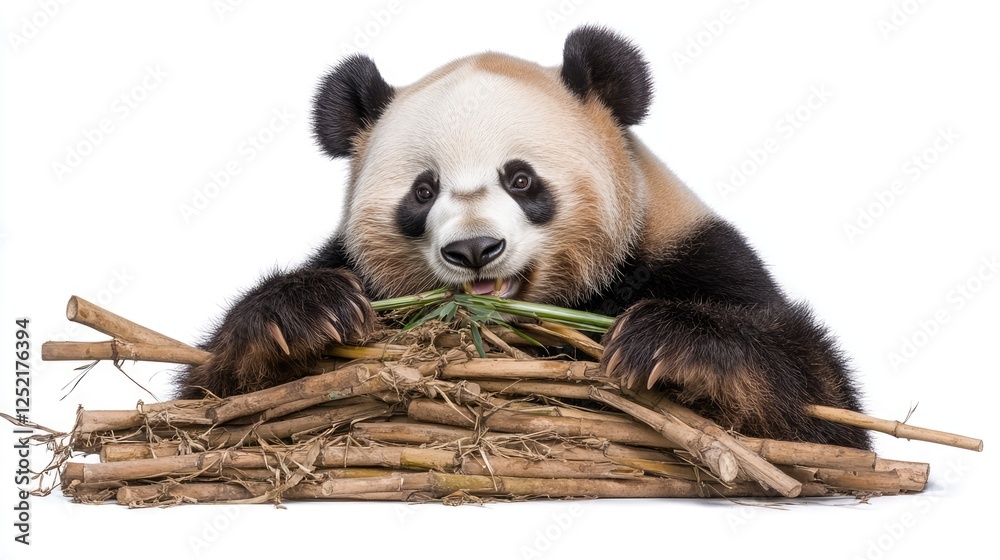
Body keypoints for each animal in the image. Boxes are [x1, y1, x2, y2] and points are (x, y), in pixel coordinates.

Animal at [178, 26, 871, 450]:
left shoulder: (687, 253)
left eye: (519, 178)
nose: (474, 250)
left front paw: (669, 345)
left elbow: (822, 408)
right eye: (423, 191)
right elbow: (209, 401)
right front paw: (301, 316)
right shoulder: (356, 266)